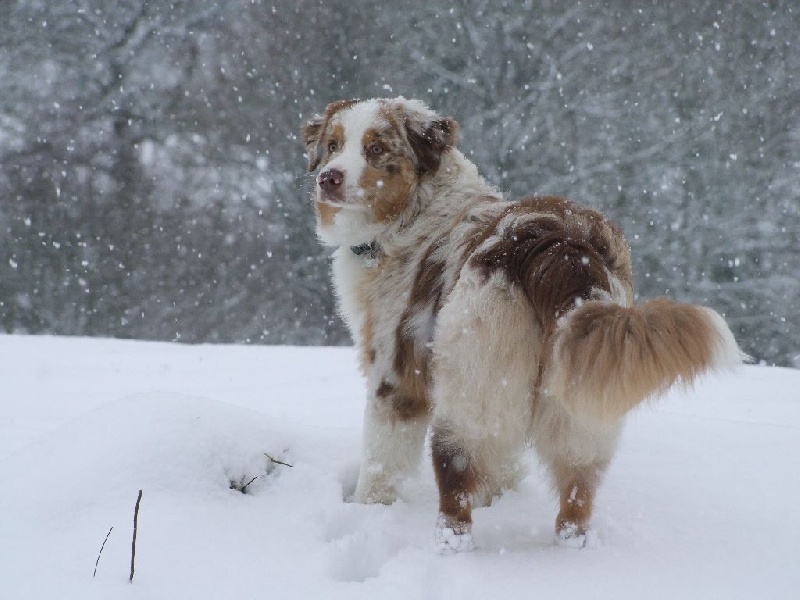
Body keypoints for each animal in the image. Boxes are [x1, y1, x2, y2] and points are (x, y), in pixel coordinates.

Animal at [300, 98, 744, 552]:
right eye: (332, 145)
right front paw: (500, 498)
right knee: (577, 486)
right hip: (578, 391)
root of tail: (559, 245)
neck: (414, 213)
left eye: (376, 149)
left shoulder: (395, 373)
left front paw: (366, 507)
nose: (328, 177)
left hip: (472, 383)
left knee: (457, 473)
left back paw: (448, 545)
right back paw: (573, 547)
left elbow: (381, 459)